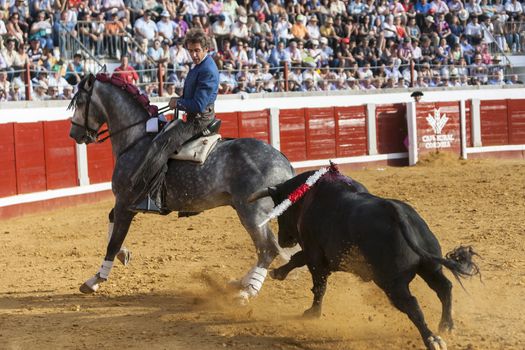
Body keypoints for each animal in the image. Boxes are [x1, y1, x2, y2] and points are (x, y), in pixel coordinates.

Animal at [68, 74, 294, 300]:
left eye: (80, 102)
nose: (74, 134)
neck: (135, 139)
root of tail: (285, 164)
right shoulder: (123, 203)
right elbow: (111, 223)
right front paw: (123, 255)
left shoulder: (125, 202)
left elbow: (113, 243)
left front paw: (95, 280)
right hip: (248, 211)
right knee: (268, 248)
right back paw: (241, 283)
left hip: (252, 213)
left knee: (268, 249)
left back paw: (246, 293)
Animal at [250, 168, 478, 348]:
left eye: (280, 211)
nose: (284, 240)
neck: (310, 196)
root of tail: (398, 214)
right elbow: (299, 261)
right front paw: (278, 272)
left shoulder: (316, 254)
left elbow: (317, 284)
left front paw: (312, 312)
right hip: (430, 267)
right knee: (444, 288)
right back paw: (446, 326)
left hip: (392, 283)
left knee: (412, 305)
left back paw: (432, 339)